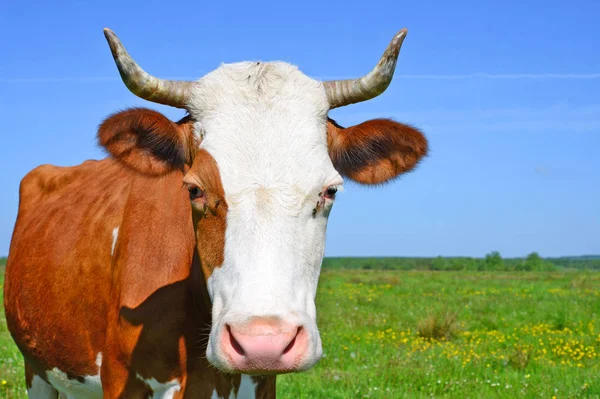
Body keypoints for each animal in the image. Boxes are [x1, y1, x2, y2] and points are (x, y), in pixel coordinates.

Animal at [3, 26, 426, 398]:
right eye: (194, 189)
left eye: (330, 190)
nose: (263, 344)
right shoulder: (122, 380)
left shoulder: (260, 383)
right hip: (36, 369)